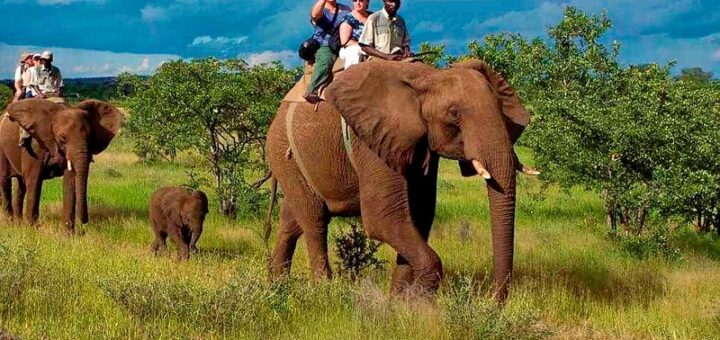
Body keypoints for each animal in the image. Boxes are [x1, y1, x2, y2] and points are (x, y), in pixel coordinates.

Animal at [0, 97, 124, 231]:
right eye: (63, 138)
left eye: (90, 138)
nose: (85, 221)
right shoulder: (35, 146)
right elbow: (34, 181)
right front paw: (33, 229)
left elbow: (70, 182)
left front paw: (68, 233)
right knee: (5, 181)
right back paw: (10, 223)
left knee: (21, 186)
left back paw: (18, 223)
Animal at [268, 59, 532, 302]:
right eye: (454, 114)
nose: (493, 303)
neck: (428, 77)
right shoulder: (370, 138)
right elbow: (384, 218)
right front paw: (417, 305)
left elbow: (419, 215)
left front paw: (398, 304)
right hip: (284, 154)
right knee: (314, 222)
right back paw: (324, 291)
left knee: (291, 221)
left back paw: (277, 286)